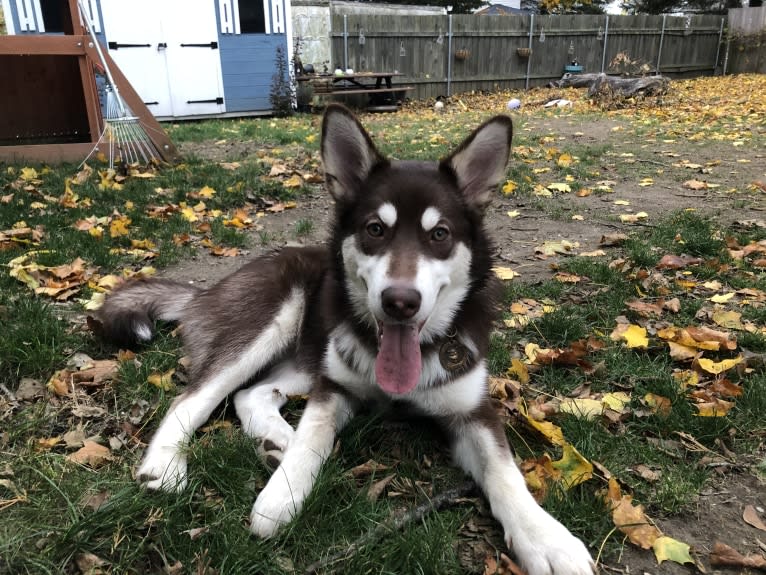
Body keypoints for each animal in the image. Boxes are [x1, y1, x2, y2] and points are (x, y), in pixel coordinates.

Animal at [90, 106, 592, 572]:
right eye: (375, 229)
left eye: (439, 234)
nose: (399, 302)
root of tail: (208, 288)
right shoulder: (333, 388)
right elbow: (314, 432)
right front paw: (284, 491)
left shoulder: (474, 410)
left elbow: (505, 472)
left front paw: (546, 538)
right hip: (274, 319)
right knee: (193, 399)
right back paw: (166, 465)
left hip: (309, 355)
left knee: (251, 394)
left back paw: (277, 440)